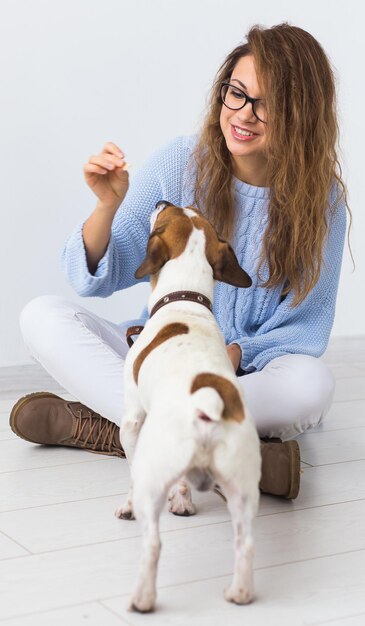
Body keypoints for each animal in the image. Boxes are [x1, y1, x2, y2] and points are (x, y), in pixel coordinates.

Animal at [115, 202, 260, 612]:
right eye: (191, 210)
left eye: (167, 215)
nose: (161, 201)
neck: (184, 299)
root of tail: (207, 402)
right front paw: (183, 500)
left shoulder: (133, 422)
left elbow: (130, 471)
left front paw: (127, 505)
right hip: (243, 489)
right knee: (245, 542)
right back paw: (239, 593)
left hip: (154, 475)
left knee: (152, 543)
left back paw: (142, 599)